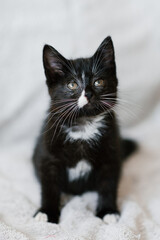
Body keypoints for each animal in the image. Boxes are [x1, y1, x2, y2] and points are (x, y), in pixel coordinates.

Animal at [32, 36, 136, 223]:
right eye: (72, 84)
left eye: (98, 82)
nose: (88, 94)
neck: (84, 125)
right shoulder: (47, 155)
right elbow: (49, 186)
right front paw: (46, 212)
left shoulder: (111, 154)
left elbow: (108, 184)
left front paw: (108, 211)